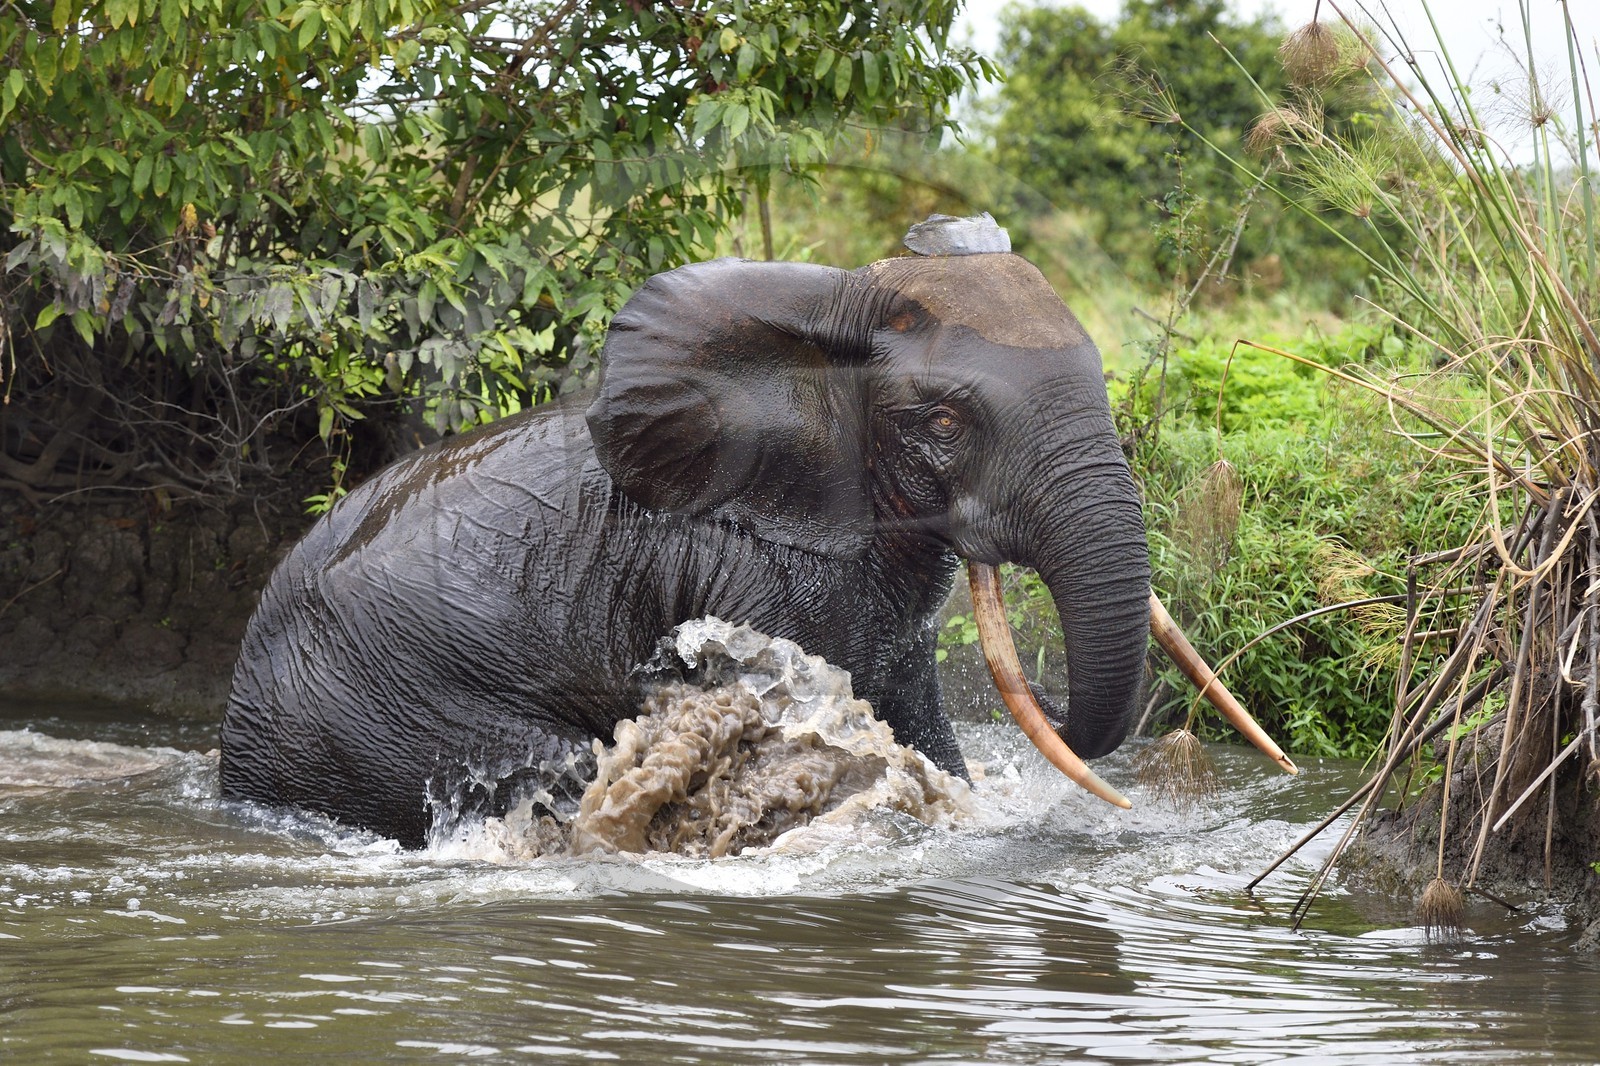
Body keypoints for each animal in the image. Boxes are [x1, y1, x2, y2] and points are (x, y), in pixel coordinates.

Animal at [220, 215, 1277, 849]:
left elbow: (915, 718)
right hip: (372, 718)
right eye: (943, 423)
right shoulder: (755, 572)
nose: (1056, 702)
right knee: (550, 766)